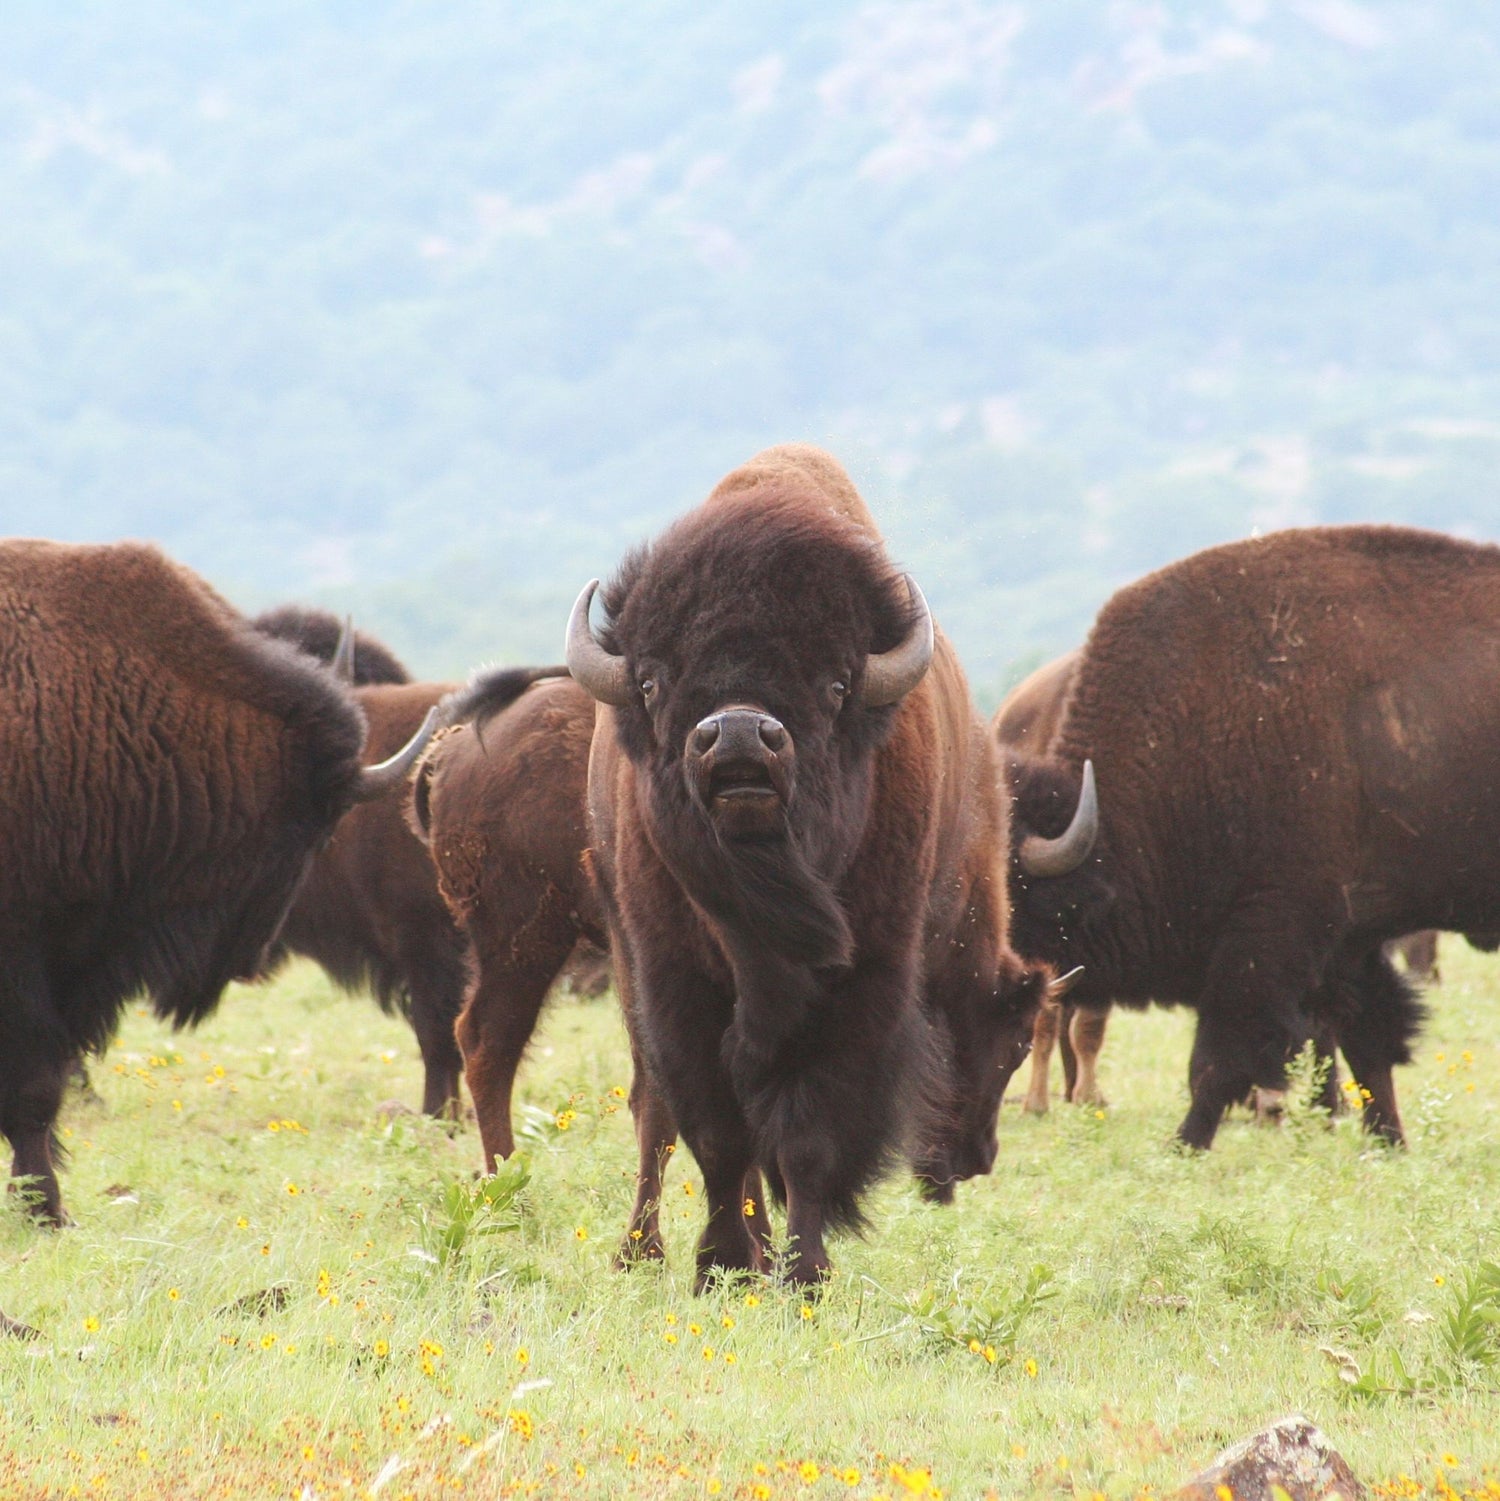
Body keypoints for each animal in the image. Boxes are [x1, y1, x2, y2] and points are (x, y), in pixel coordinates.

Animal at [558, 444, 1051, 1290]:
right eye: (652, 679)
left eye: (836, 682)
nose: (737, 735)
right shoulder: (676, 983)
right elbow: (718, 1133)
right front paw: (721, 1263)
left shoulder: (861, 984)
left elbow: (807, 1136)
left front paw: (803, 1271)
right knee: (657, 1112)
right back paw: (648, 1250)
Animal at [996, 525, 1500, 1146]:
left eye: (1008, 895)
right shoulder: (1347, 942)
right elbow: (1366, 1044)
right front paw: (1386, 1141)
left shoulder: (1271, 932)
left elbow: (1219, 1058)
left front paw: (1185, 1143)